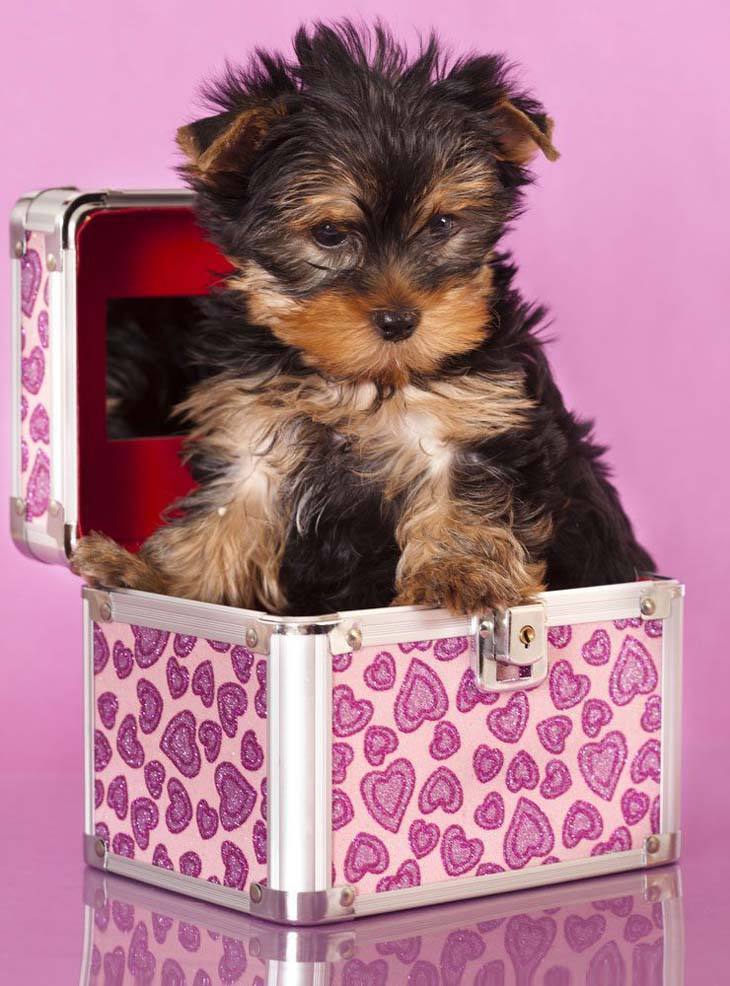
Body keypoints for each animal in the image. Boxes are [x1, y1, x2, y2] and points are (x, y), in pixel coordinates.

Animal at [74, 23, 656, 616]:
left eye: (441, 224)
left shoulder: (478, 416)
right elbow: (225, 517)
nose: (399, 321)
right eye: (329, 233)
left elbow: (468, 497)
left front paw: (460, 572)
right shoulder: (252, 433)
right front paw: (157, 576)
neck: (361, 379)